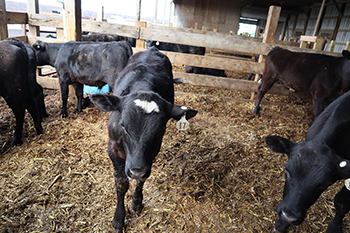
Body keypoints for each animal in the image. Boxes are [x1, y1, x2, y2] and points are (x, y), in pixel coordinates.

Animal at [89, 46, 197, 231]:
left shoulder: (151, 154)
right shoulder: (113, 149)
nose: (136, 170)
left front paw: (137, 203)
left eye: (161, 129)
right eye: (123, 125)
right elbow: (121, 183)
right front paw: (118, 219)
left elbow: (142, 179)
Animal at [266, 89, 350, 233]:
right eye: (287, 170)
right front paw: (281, 225)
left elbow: (342, 202)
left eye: (325, 184)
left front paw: (334, 227)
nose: (288, 217)